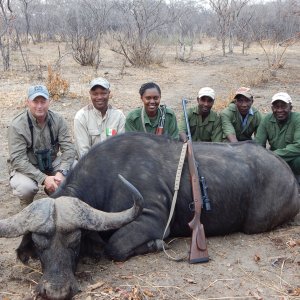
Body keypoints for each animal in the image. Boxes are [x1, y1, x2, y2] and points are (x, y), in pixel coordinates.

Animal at [0, 132, 300, 298]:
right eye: (39, 244)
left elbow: (115, 247)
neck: (108, 178)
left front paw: (155, 245)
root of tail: (289, 175)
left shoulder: (152, 221)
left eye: (75, 241)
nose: (56, 291)